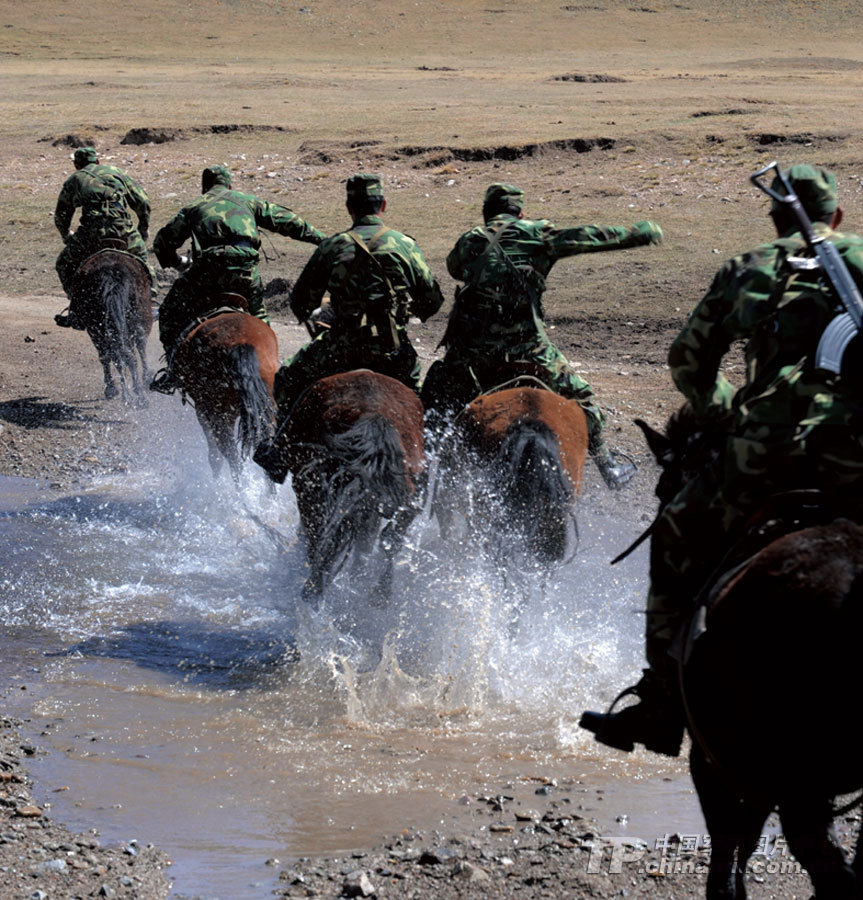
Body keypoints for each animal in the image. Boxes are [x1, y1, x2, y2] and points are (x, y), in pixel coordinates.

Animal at [70, 242, 152, 406]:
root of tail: (111, 276)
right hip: (137, 318)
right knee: (131, 351)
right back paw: (139, 394)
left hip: (97, 327)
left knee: (115, 355)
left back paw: (125, 394)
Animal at [173, 300, 279, 481]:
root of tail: (239, 343)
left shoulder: (202, 409)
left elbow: (214, 454)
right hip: (266, 407)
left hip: (220, 414)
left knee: (231, 457)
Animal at [271, 370, 425, 604]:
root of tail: (376, 416)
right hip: (407, 498)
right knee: (388, 541)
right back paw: (378, 594)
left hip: (311, 490)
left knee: (320, 539)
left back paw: (313, 591)